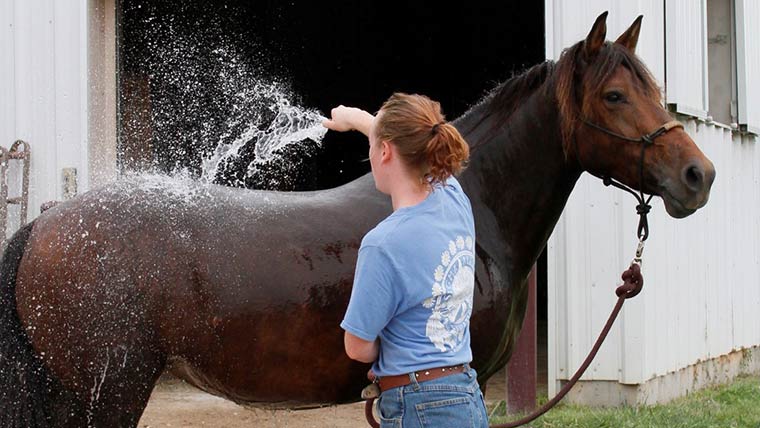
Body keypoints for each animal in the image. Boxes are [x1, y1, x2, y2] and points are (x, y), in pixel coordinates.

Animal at [0, 13, 712, 428]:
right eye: (615, 95)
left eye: (654, 88)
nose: (698, 176)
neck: (472, 206)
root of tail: (47, 225)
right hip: (106, 393)